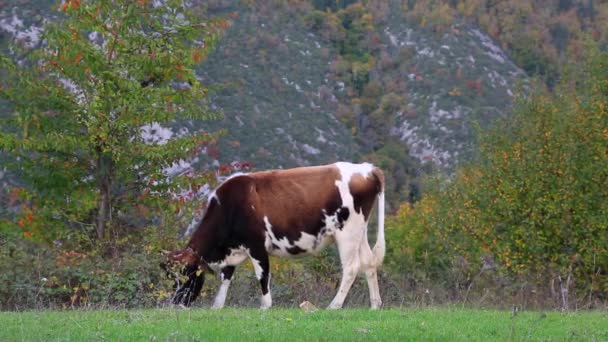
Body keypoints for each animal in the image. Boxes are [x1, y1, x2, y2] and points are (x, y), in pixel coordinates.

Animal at [163, 162, 384, 308]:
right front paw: (217, 306)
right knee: (369, 262)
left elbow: (262, 275)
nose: (175, 303)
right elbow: (226, 277)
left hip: (347, 232)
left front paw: (265, 306)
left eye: (186, 276)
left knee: (351, 267)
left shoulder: (256, 245)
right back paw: (375, 305)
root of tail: (367, 168)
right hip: (360, 231)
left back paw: (334, 306)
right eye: (171, 278)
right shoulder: (235, 249)